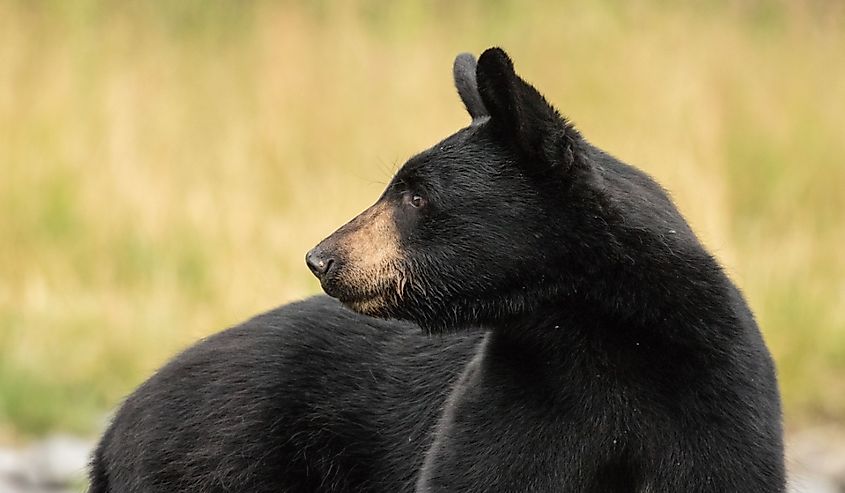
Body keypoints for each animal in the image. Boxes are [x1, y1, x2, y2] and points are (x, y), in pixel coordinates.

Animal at [89, 47, 780, 492]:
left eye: (417, 194)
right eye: (400, 186)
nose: (322, 257)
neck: (598, 334)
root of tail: (115, 425)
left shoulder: (709, 395)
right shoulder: (519, 394)